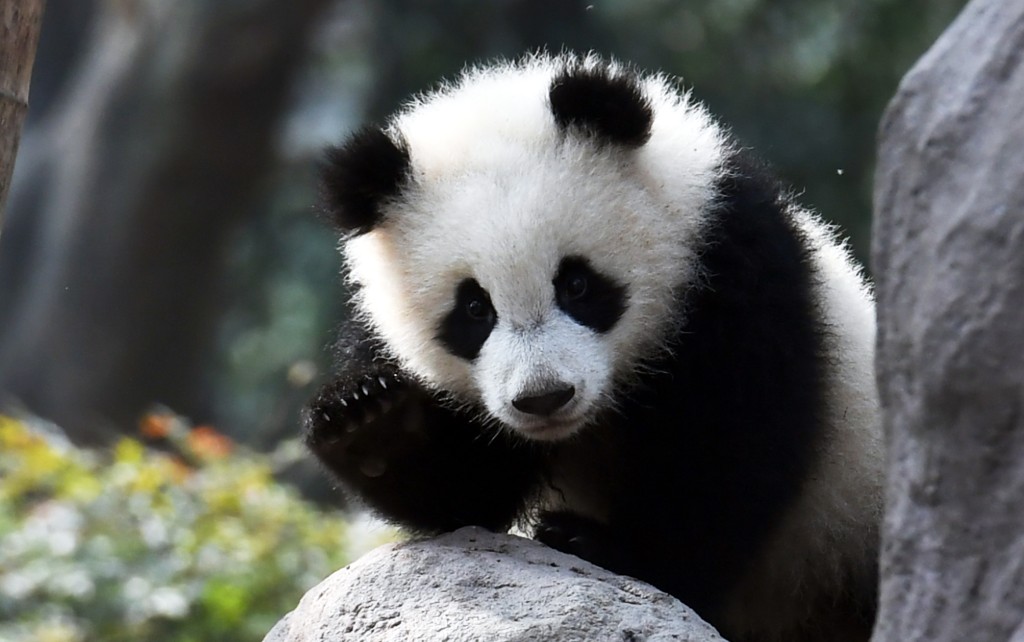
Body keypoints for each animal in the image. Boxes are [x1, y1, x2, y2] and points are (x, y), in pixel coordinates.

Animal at [303, 54, 880, 642]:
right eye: (474, 309)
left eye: (576, 284)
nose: (543, 398)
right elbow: (468, 496)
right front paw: (370, 420)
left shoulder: (733, 272)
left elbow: (729, 449)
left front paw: (606, 548)